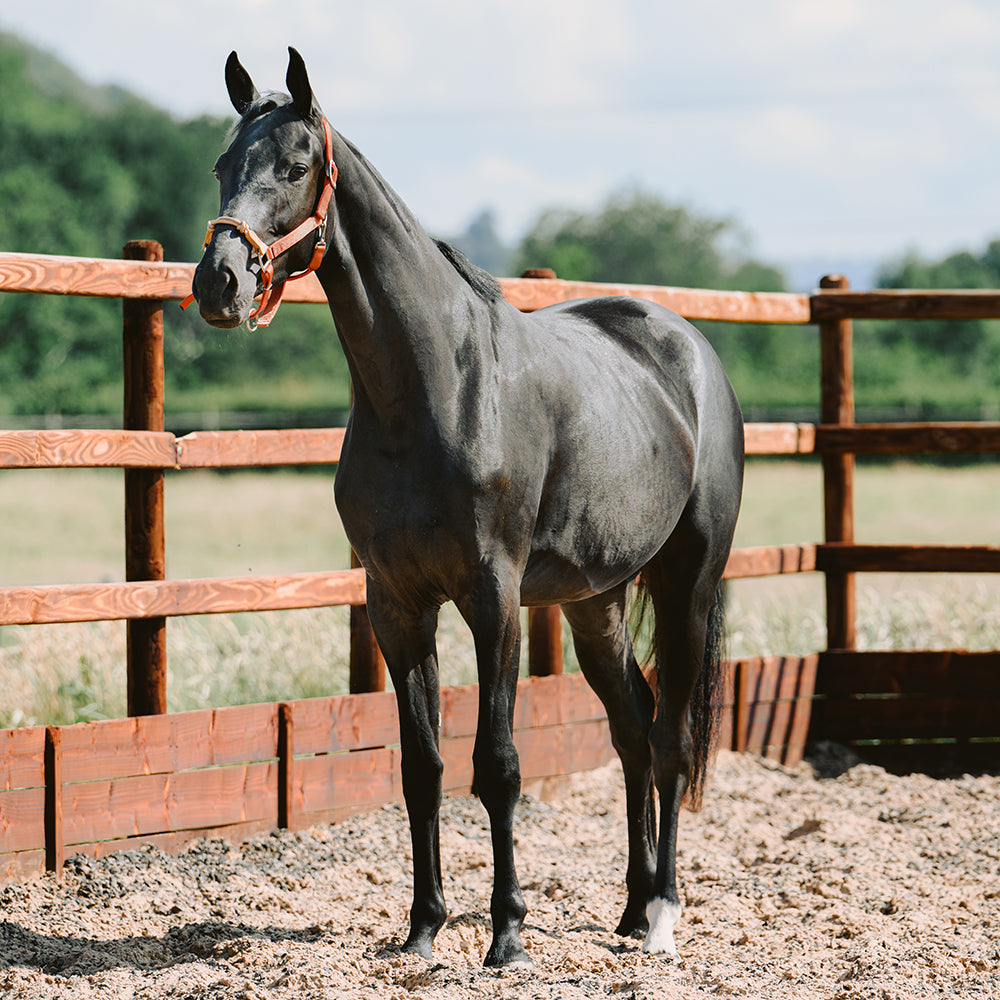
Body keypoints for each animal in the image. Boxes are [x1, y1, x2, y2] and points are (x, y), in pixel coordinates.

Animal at [188, 47, 744, 967]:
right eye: (223, 165)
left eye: (296, 166)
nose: (219, 283)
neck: (434, 389)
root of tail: (690, 349)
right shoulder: (396, 603)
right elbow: (423, 768)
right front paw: (423, 928)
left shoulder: (495, 599)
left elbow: (500, 763)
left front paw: (507, 932)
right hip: (596, 602)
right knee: (632, 727)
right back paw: (629, 911)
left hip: (686, 584)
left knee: (668, 737)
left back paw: (662, 913)